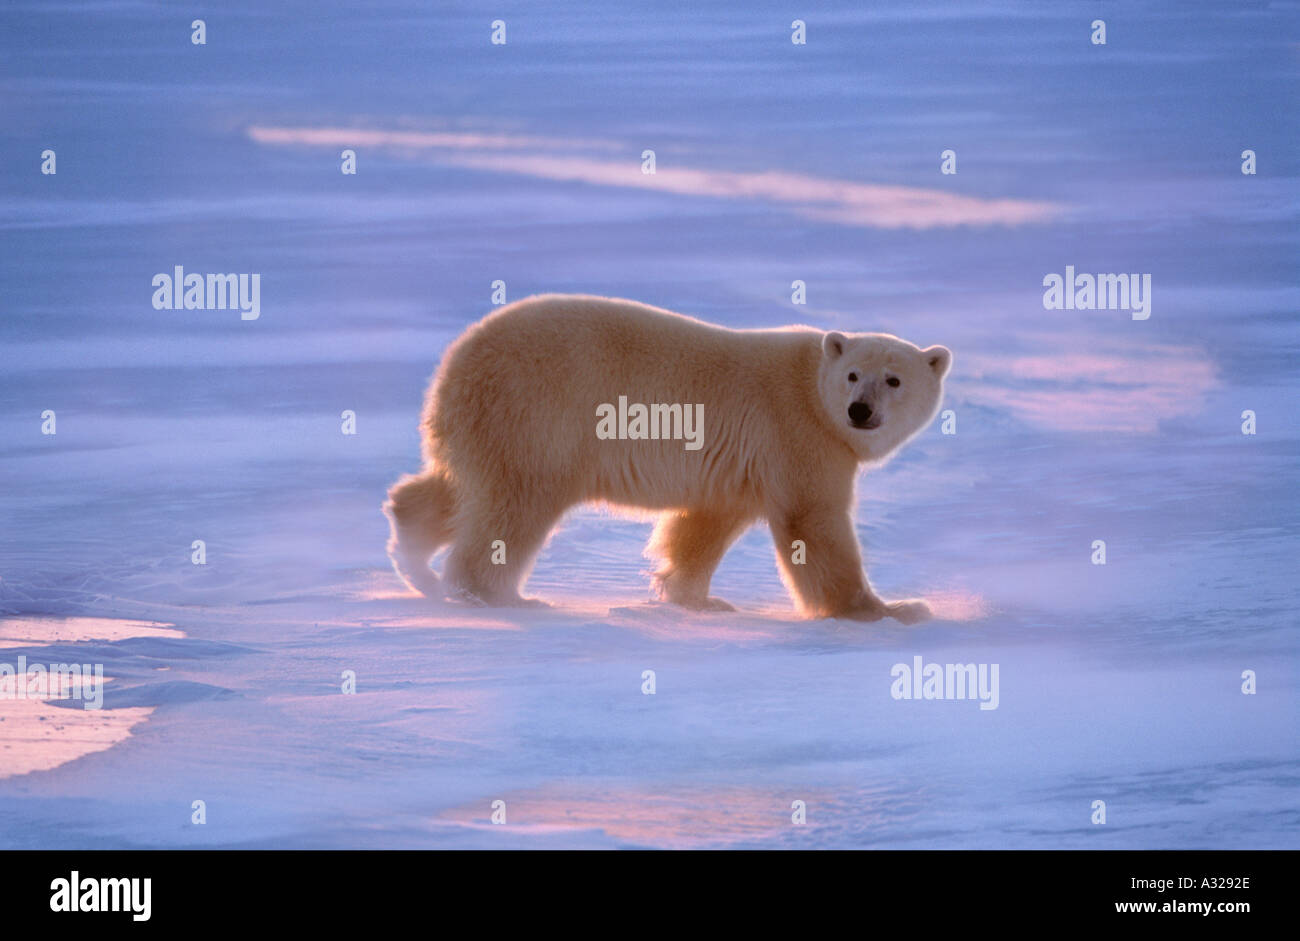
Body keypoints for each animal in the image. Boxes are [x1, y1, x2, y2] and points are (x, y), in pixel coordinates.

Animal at [384, 294, 951, 624]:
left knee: (456, 489)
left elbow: (703, 527)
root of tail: (458, 358)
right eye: (854, 374)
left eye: (894, 379)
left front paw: (697, 599)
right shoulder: (797, 434)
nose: (859, 410)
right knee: (516, 502)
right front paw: (892, 610)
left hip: (488, 423)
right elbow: (813, 523)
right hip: (537, 411)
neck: (811, 387)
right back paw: (502, 597)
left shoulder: (738, 466)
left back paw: (416, 560)